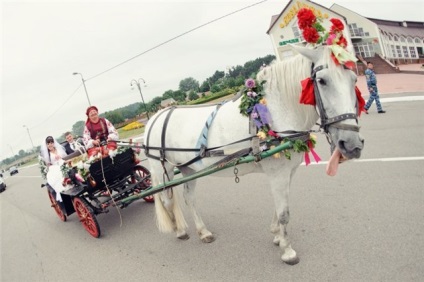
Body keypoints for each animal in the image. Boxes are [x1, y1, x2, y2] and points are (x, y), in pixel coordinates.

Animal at [144, 44, 362, 264]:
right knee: (167, 200)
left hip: (188, 167)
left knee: (189, 198)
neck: (276, 111)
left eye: (354, 79)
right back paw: (179, 230)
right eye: (322, 80)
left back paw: (203, 232)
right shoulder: (277, 174)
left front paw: (277, 235)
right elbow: (284, 213)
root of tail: (154, 118)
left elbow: (279, 207)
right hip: (163, 168)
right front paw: (287, 250)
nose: (352, 145)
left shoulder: (288, 171)